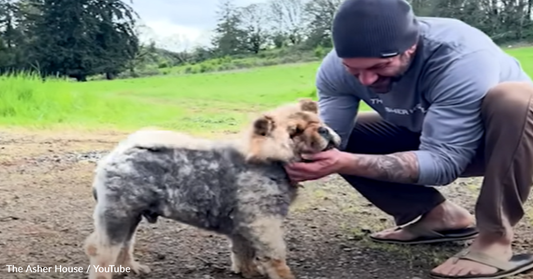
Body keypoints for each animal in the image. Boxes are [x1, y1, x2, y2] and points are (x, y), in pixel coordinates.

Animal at [83, 99, 340, 279]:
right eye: (294, 132)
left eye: (318, 122)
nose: (324, 130)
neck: (269, 160)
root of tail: (116, 154)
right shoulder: (264, 224)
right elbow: (275, 258)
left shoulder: (243, 224)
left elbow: (243, 252)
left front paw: (248, 271)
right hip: (117, 216)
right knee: (102, 253)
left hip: (131, 216)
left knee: (125, 246)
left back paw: (133, 268)